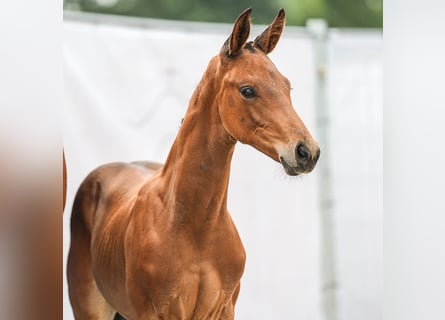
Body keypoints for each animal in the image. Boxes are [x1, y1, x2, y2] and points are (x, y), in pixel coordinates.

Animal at [67, 8, 320, 320]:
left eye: (287, 86)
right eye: (247, 90)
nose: (307, 151)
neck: (196, 227)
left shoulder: (223, 310)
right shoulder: (154, 312)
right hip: (90, 308)